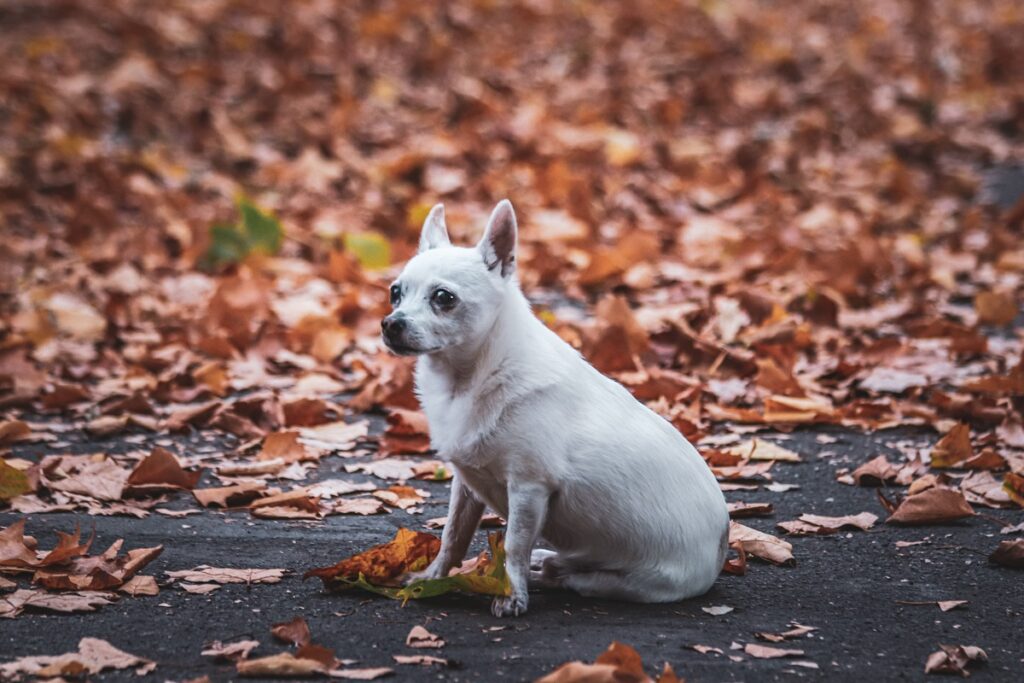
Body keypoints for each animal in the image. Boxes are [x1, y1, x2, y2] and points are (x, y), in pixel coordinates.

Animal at [382, 200, 729, 618]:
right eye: (395, 294)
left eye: (444, 298)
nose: (390, 324)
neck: (467, 378)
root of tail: (722, 548)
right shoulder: (467, 485)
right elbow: (453, 535)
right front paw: (432, 578)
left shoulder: (529, 488)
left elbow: (514, 545)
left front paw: (511, 595)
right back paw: (548, 559)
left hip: (626, 582)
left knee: (570, 578)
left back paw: (547, 571)